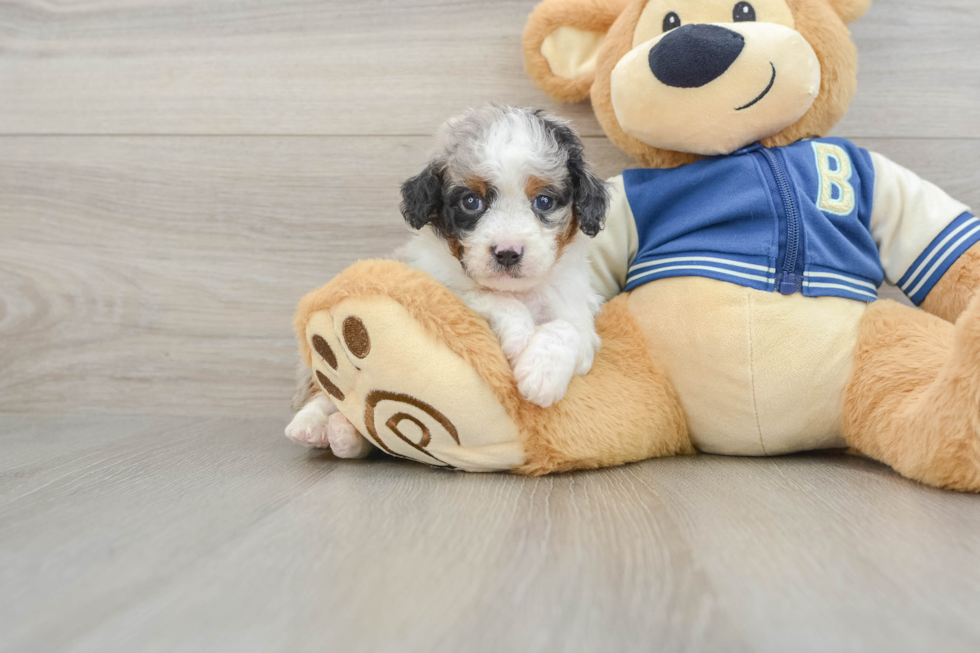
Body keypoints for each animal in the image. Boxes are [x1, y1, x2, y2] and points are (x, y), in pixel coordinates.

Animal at [284, 105, 608, 458]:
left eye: (544, 202)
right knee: (327, 393)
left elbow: (566, 330)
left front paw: (541, 375)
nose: (508, 253)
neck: (522, 292)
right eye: (471, 202)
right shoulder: (435, 285)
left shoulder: (577, 317)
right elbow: (488, 297)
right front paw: (519, 335)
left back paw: (344, 434)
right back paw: (312, 424)